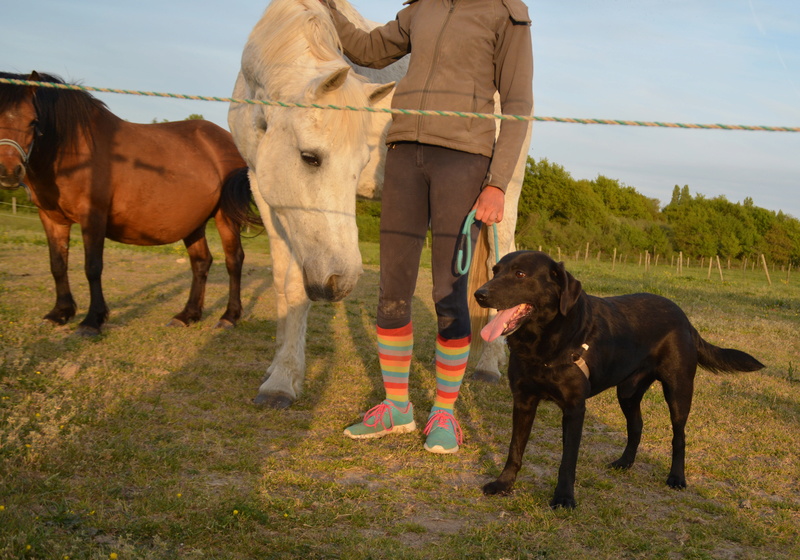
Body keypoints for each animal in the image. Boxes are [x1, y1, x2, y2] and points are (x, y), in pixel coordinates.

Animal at [0, 70, 256, 332]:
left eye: (33, 121)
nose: (8, 172)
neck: (74, 149)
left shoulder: (93, 215)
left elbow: (93, 267)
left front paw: (92, 320)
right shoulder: (52, 218)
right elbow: (58, 265)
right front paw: (60, 312)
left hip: (225, 216)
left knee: (233, 260)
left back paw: (229, 316)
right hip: (193, 221)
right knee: (201, 262)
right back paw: (187, 315)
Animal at [472, 250, 764, 508]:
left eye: (520, 274)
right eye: (495, 271)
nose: (479, 294)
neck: (545, 341)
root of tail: (685, 319)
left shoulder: (574, 409)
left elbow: (567, 460)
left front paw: (564, 498)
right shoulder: (523, 401)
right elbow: (515, 450)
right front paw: (504, 484)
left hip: (678, 390)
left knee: (679, 435)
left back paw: (677, 478)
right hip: (628, 392)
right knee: (636, 426)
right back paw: (625, 463)